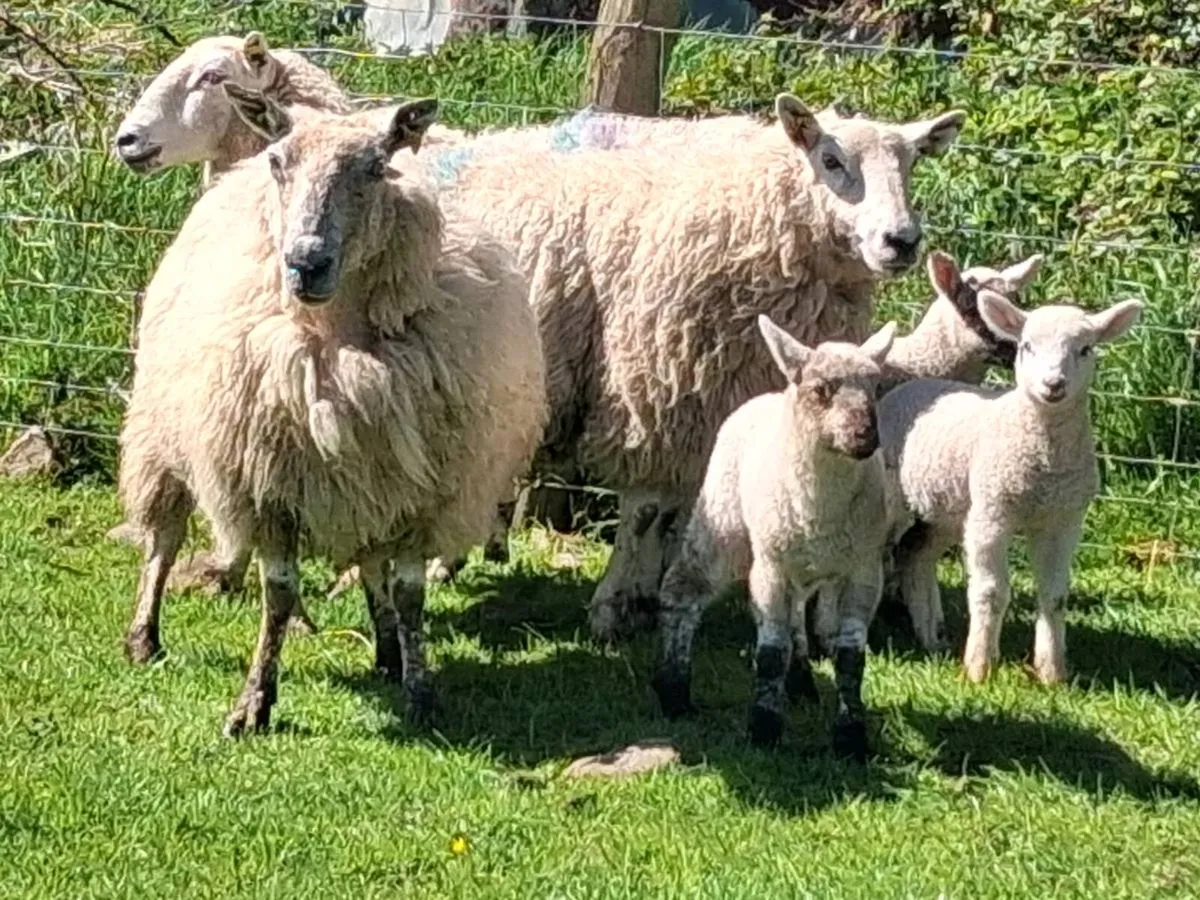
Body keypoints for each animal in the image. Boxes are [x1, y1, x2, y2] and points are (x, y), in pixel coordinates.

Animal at [119, 90, 546, 735]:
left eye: (376, 166)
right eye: (280, 162)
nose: (305, 262)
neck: (337, 341)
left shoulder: (421, 492)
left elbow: (410, 596)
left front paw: (420, 691)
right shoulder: (267, 488)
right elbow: (277, 594)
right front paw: (254, 702)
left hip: (371, 478)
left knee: (372, 565)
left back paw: (387, 650)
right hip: (160, 431)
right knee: (162, 539)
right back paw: (145, 635)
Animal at [440, 93, 966, 641]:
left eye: (913, 162)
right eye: (831, 160)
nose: (901, 240)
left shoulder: (708, 407)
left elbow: (678, 514)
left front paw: (648, 595)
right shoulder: (652, 397)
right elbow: (646, 512)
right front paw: (614, 605)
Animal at [652, 316, 898, 761]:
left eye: (875, 387)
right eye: (821, 390)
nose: (865, 437)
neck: (822, 507)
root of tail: (766, 395)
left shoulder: (862, 570)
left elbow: (850, 658)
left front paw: (851, 738)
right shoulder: (771, 568)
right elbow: (769, 653)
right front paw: (764, 729)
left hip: (798, 559)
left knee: (796, 616)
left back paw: (800, 683)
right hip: (726, 518)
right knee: (683, 589)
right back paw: (674, 690)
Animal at [878, 292, 1142, 682]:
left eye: (1085, 349)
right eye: (1027, 346)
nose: (1053, 384)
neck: (1045, 462)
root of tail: (916, 386)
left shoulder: (1062, 520)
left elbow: (1054, 596)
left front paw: (1052, 673)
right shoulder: (992, 515)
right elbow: (991, 592)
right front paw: (979, 668)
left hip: (949, 507)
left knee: (915, 555)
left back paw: (932, 637)